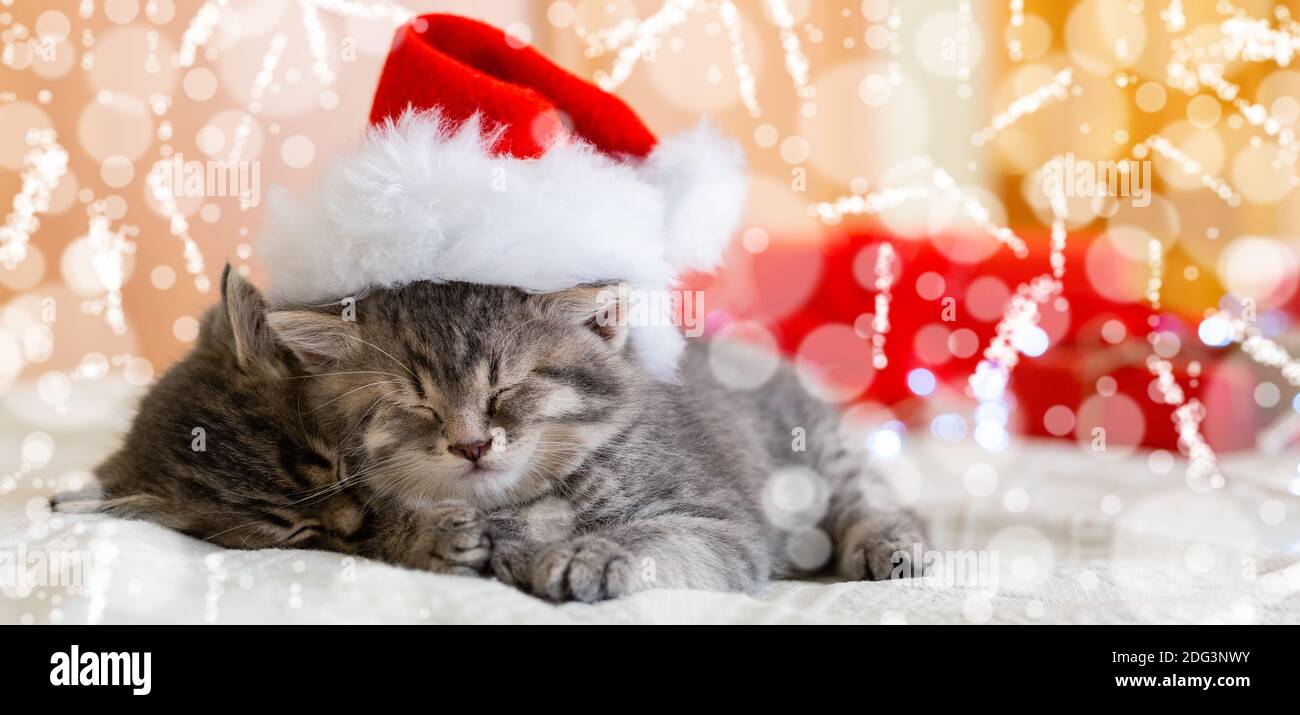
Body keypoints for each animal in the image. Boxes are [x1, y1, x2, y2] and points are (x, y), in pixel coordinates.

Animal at [269, 283, 930, 603]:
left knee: (876, 501)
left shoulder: (720, 517)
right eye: (417, 404)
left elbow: (655, 536)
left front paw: (591, 554)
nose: (472, 445)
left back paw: (891, 547)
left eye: (506, 388)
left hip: (819, 456)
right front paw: (438, 538)